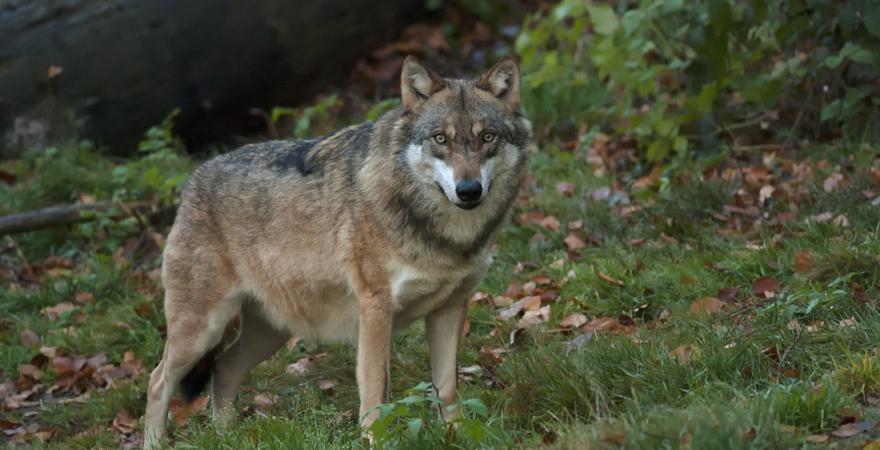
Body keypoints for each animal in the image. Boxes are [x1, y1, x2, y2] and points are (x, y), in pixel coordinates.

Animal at [143, 55, 536, 448]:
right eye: (441, 138)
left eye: (487, 137)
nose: (468, 190)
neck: (448, 236)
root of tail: (193, 179)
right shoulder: (375, 308)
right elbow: (376, 391)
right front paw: (375, 440)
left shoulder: (450, 307)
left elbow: (447, 388)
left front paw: (456, 435)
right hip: (201, 332)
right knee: (158, 379)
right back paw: (156, 440)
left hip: (270, 333)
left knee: (223, 368)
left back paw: (225, 436)